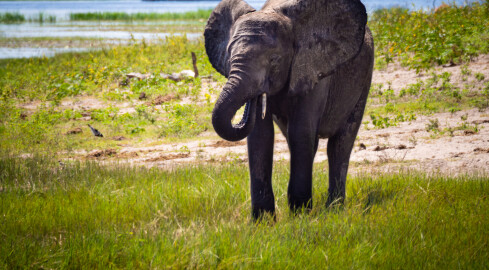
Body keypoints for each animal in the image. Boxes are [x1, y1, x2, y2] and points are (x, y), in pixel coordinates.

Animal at [204, 0, 372, 219]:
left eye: (274, 59)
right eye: (230, 56)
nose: (255, 98)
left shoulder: (313, 69)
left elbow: (300, 131)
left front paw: (300, 215)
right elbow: (261, 136)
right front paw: (263, 221)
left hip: (364, 78)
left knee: (339, 144)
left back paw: (334, 209)